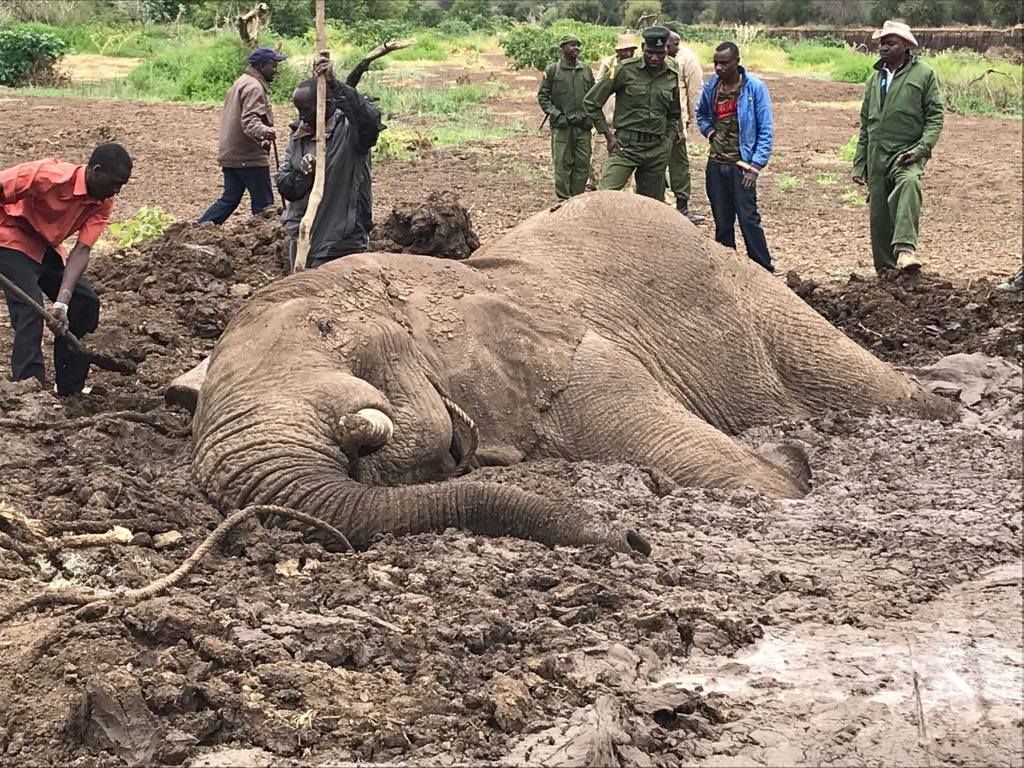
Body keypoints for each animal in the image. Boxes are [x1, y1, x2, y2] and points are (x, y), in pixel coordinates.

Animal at [184, 191, 950, 552]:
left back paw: (943, 403)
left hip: (758, 293)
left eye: (334, 337)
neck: (431, 278)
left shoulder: (585, 365)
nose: (635, 538)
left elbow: (728, 474)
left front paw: (790, 471)